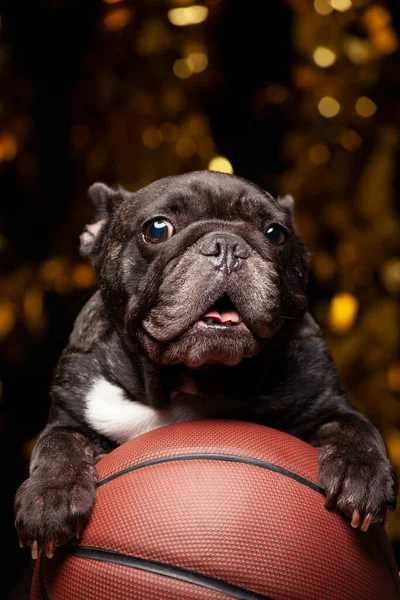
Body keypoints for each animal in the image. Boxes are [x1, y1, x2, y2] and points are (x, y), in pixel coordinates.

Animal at [14, 168, 396, 556]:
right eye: (157, 229)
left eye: (275, 234)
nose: (227, 245)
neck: (197, 381)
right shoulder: (71, 415)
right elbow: (58, 444)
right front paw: (50, 497)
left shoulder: (325, 405)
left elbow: (357, 429)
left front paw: (361, 474)